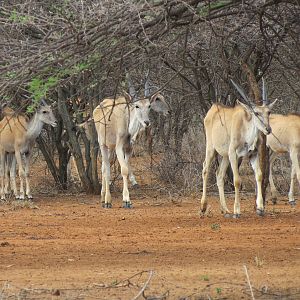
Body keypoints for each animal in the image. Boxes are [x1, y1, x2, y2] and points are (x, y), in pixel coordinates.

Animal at [92, 79, 168, 209]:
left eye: (149, 106)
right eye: (137, 106)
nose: (146, 122)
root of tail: (98, 107)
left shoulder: (128, 149)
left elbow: (126, 169)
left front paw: (126, 198)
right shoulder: (119, 148)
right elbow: (123, 170)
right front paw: (127, 200)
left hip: (111, 148)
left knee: (104, 167)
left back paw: (102, 197)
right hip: (103, 145)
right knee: (106, 169)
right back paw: (107, 200)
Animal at [200, 81, 278, 218]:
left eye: (268, 112)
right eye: (256, 113)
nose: (268, 129)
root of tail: (212, 109)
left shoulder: (253, 154)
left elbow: (259, 175)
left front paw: (260, 208)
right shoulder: (233, 154)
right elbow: (237, 180)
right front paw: (237, 211)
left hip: (225, 156)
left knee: (219, 174)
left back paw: (225, 209)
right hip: (211, 148)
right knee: (205, 169)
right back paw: (203, 207)